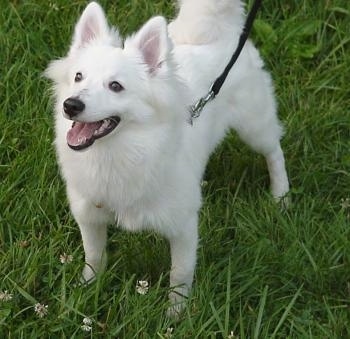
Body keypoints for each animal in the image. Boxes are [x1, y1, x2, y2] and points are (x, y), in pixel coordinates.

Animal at [45, 0, 288, 316]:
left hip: (253, 126)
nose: (71, 105)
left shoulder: (183, 226)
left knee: (275, 150)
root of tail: (223, 32)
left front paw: (176, 315)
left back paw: (281, 196)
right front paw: (85, 291)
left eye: (115, 86)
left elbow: (180, 275)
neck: (117, 153)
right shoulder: (89, 216)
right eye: (78, 77)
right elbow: (94, 257)